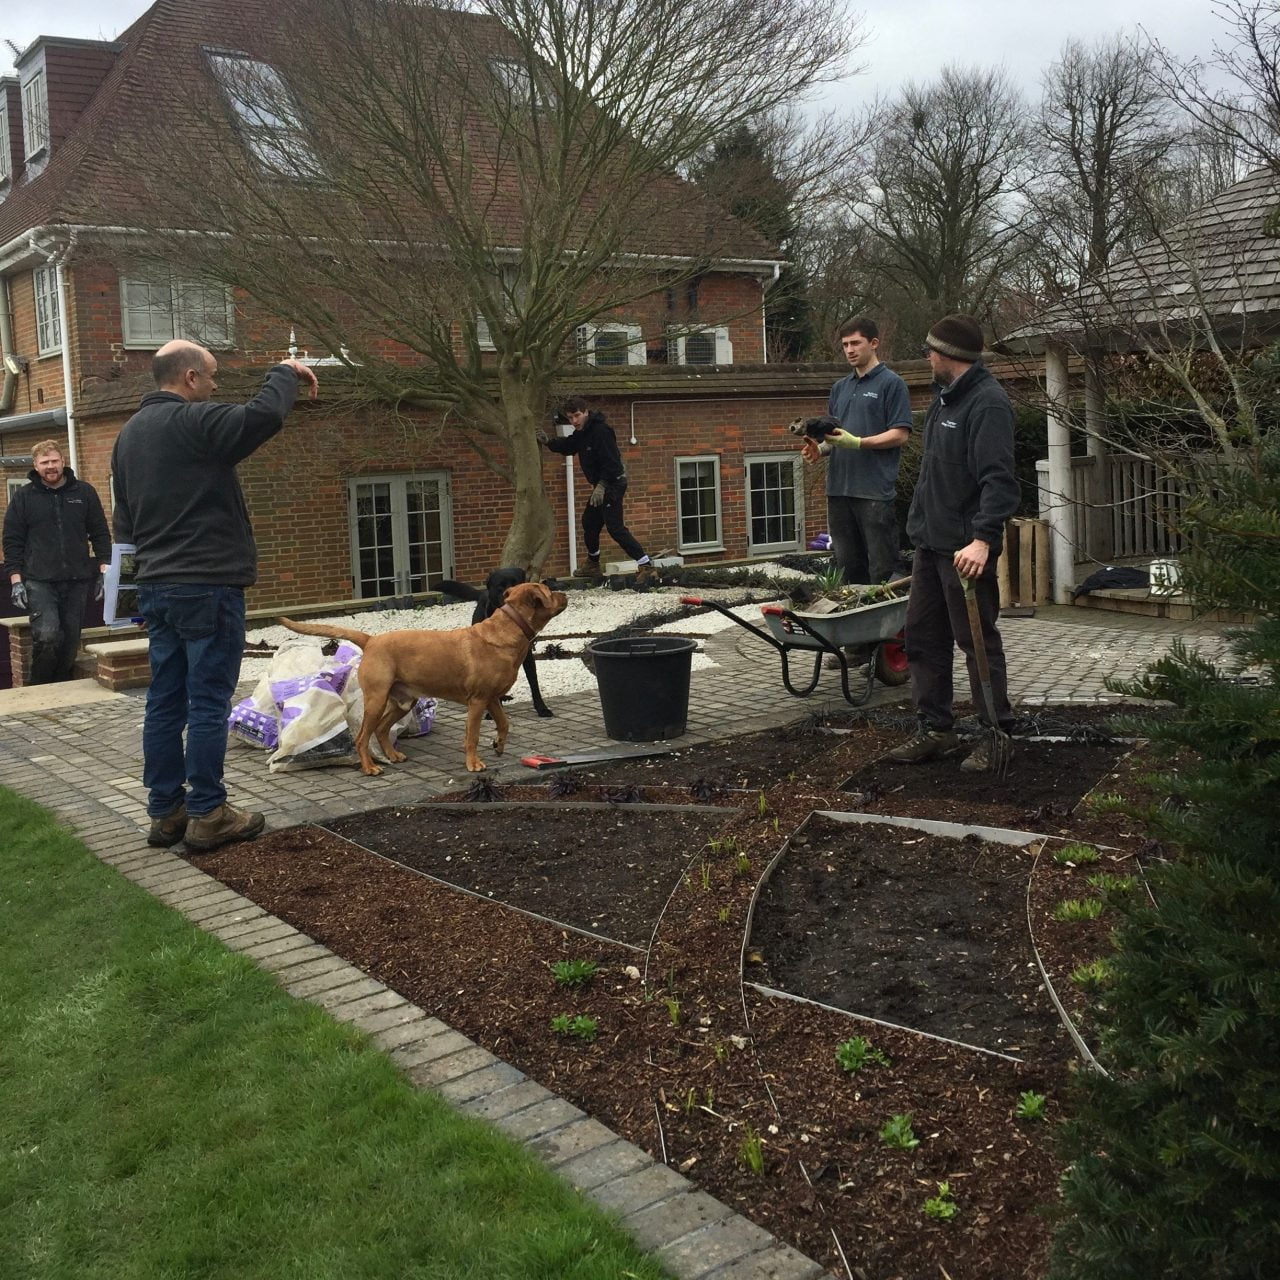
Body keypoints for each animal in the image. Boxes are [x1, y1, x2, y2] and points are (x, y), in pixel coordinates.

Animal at [282, 581, 568, 768]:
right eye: (549, 591)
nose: (564, 593)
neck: (509, 629)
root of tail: (371, 640)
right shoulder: (478, 701)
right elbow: (472, 737)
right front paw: (473, 763)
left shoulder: (492, 698)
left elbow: (505, 724)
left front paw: (499, 745)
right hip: (377, 699)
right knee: (363, 736)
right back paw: (370, 768)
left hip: (403, 701)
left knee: (382, 729)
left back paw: (393, 755)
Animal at [437, 565, 552, 716]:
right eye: (500, 587)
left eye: (516, 584)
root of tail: (483, 593)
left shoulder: (527, 656)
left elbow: (533, 681)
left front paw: (542, 708)